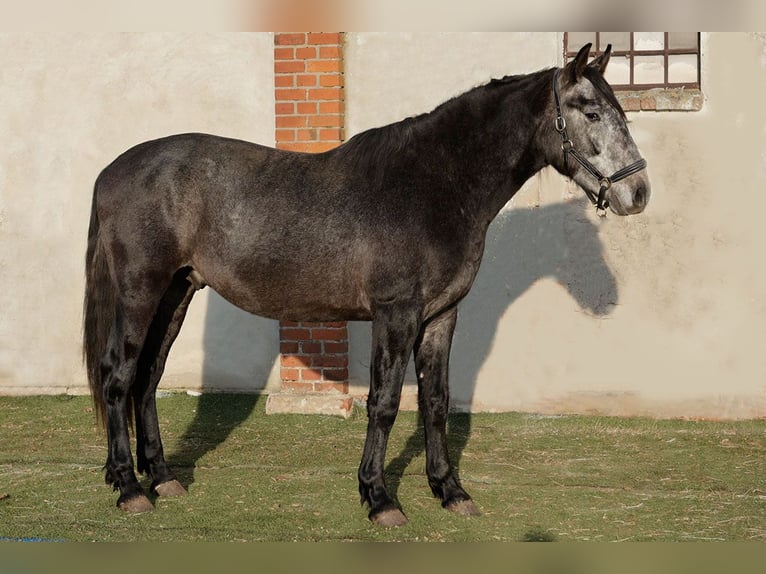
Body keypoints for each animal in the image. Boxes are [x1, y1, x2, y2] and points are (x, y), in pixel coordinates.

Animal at [83, 43, 649, 526]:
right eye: (591, 113)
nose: (639, 193)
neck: (435, 185)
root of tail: (112, 171)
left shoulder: (441, 317)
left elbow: (436, 402)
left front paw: (450, 491)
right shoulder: (395, 314)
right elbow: (384, 403)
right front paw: (379, 498)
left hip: (176, 292)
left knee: (148, 377)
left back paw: (162, 478)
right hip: (140, 291)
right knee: (119, 374)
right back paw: (129, 488)